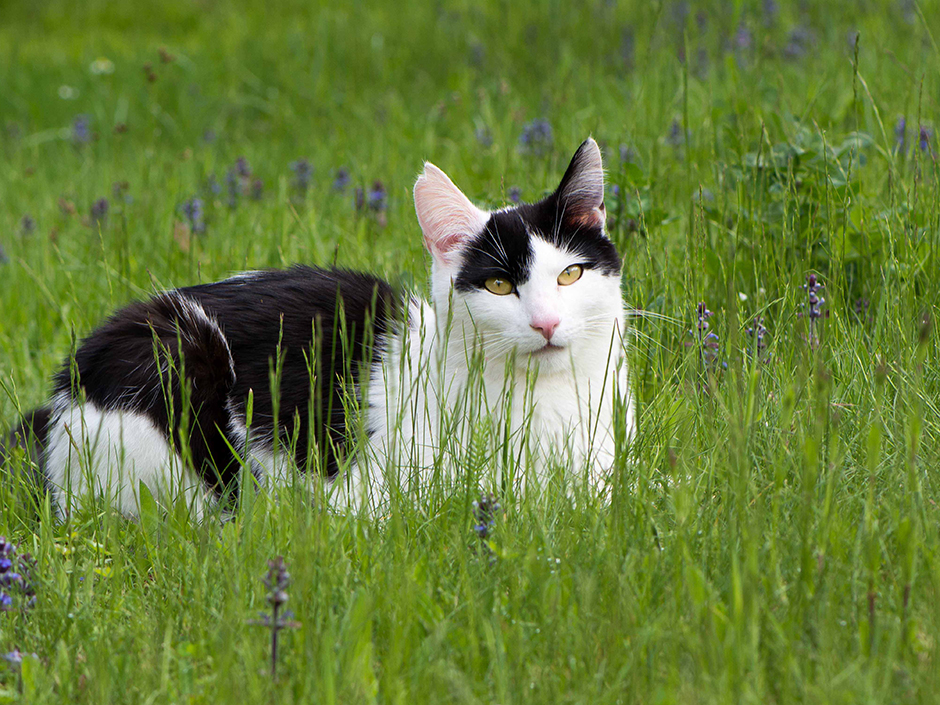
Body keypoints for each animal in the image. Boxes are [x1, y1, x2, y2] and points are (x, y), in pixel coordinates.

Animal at [3, 138, 636, 516]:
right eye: (501, 287)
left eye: (571, 274)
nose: (547, 322)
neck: (547, 400)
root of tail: (61, 394)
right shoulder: (374, 493)